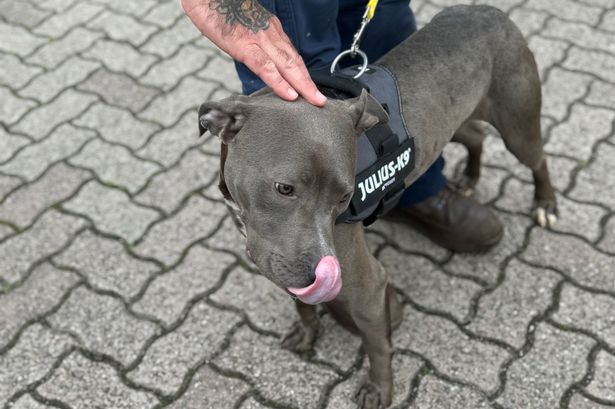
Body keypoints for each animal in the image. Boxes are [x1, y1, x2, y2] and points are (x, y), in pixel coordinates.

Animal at [199, 3, 560, 408]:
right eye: (284, 188)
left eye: (343, 197)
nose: (316, 274)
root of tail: (487, 10)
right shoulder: (284, 263)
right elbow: (301, 301)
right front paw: (307, 329)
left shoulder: (369, 287)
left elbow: (377, 345)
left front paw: (378, 388)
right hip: (456, 119)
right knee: (476, 136)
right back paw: (469, 177)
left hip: (517, 124)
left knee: (538, 158)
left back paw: (545, 202)